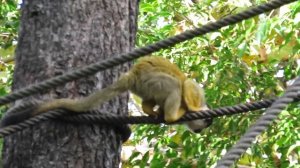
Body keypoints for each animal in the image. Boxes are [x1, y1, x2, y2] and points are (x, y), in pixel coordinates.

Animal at [0, 57, 211, 133]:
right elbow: (189, 86)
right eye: (206, 124)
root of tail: (133, 74)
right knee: (177, 85)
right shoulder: (197, 94)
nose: (200, 131)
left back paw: (150, 111)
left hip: (145, 85)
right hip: (152, 79)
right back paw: (171, 115)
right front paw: (192, 109)